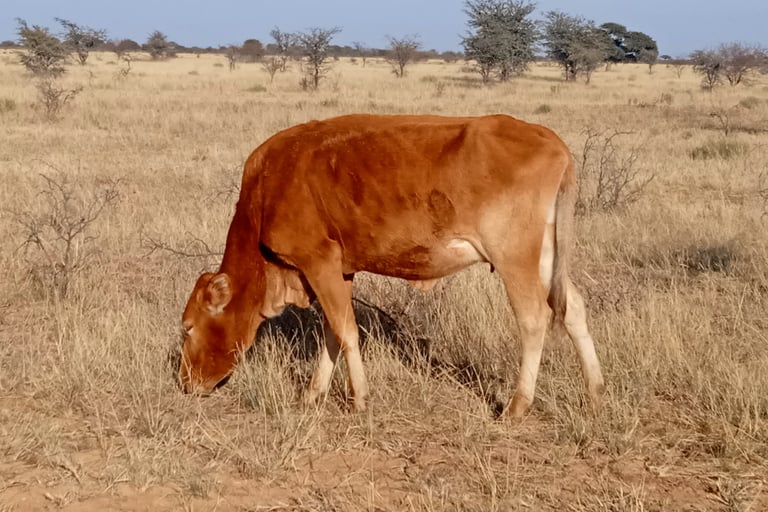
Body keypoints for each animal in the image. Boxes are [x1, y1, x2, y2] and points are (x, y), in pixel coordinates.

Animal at [179, 114, 605, 418]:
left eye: (188, 327)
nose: (186, 382)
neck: (269, 186)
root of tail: (547, 137)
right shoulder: (339, 270)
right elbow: (332, 332)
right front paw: (313, 394)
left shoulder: (318, 261)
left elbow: (346, 331)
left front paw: (360, 400)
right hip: (546, 255)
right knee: (573, 309)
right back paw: (596, 390)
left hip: (514, 257)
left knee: (533, 319)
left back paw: (516, 407)